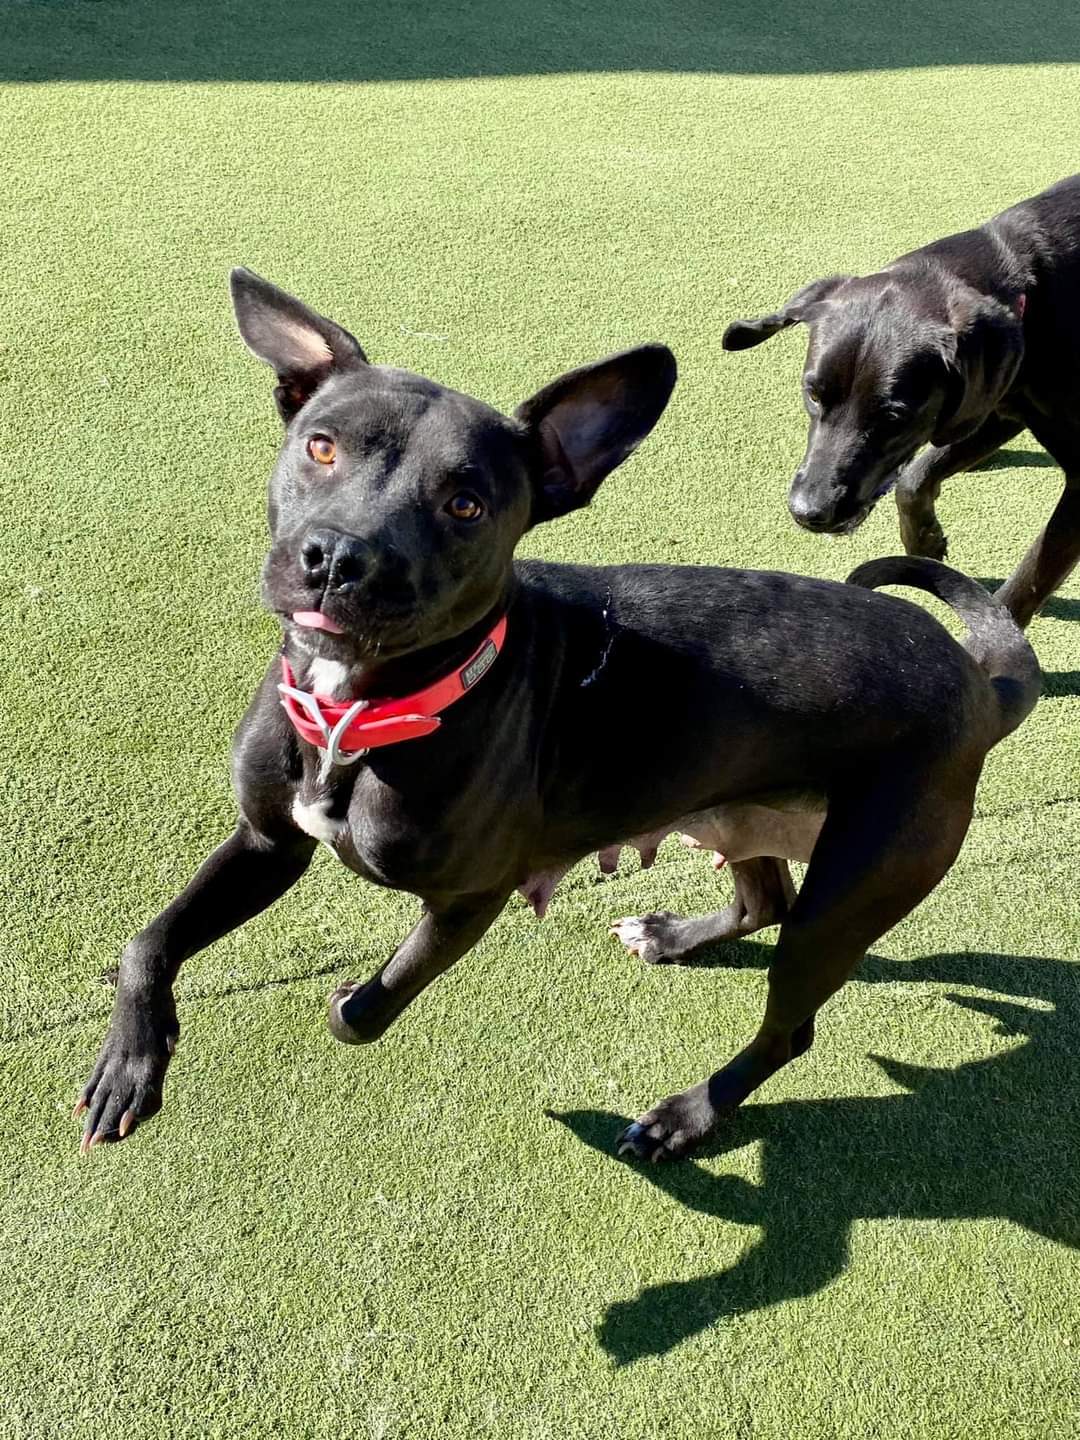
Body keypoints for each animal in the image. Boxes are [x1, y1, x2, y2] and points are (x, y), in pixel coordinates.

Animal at [76, 270, 1042, 1163]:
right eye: (320, 447)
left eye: (466, 504)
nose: (338, 556)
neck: (361, 711)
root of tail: (978, 684)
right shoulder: (267, 843)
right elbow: (147, 941)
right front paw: (132, 1062)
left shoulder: (468, 901)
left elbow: (363, 1011)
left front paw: (343, 1002)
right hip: (745, 809)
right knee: (762, 901)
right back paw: (672, 937)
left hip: (850, 889)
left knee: (790, 1023)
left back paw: (686, 1116)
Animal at [722, 171, 1080, 627]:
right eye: (813, 394)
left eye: (894, 417)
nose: (808, 513)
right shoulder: (992, 402)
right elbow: (914, 478)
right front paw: (924, 541)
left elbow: (1028, 580)